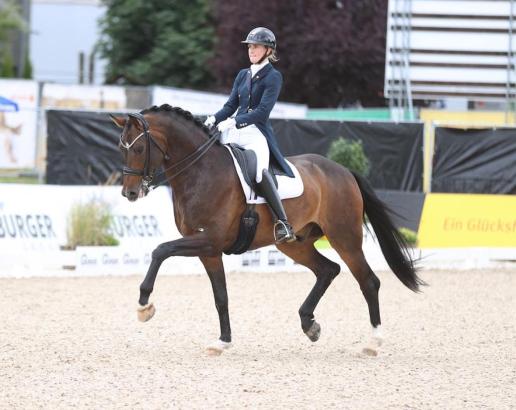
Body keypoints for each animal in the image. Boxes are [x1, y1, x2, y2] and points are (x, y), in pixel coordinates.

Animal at [110, 105, 424, 356]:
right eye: (120, 149)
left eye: (138, 149)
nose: (130, 193)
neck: (200, 171)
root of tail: (344, 171)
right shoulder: (208, 250)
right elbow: (221, 296)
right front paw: (223, 342)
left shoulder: (208, 240)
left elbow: (160, 250)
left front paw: (144, 305)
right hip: (294, 243)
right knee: (328, 270)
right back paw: (309, 324)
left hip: (344, 238)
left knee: (368, 281)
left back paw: (372, 342)